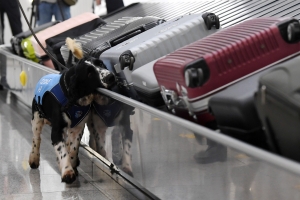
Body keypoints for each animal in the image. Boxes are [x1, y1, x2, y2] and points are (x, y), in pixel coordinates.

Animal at [28, 37, 116, 183]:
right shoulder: (56, 131)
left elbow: (73, 149)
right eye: (89, 73)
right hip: (36, 118)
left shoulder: (77, 129)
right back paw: (34, 159)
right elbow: (63, 151)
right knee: (36, 139)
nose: (111, 76)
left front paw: (72, 165)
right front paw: (67, 171)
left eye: (101, 63)